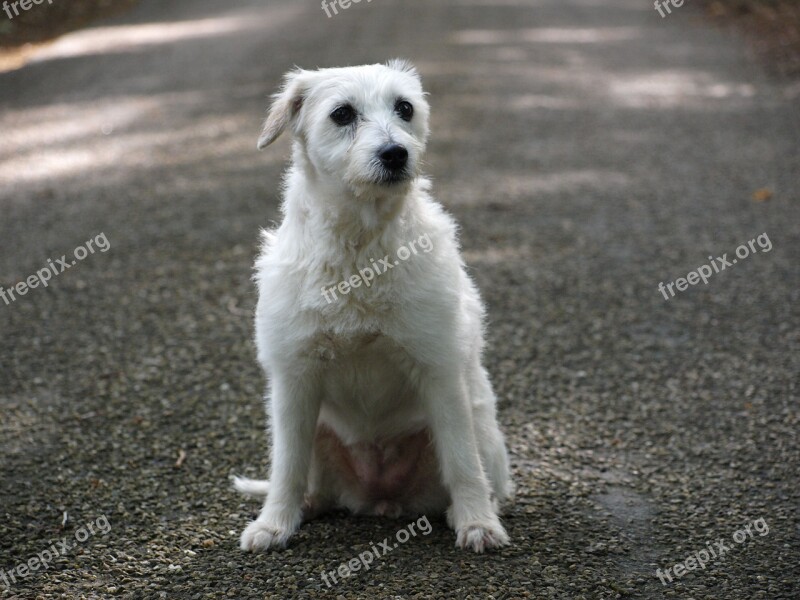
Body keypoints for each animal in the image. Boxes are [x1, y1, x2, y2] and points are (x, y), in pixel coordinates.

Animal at [236, 61, 512, 552]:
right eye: (342, 114)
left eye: (405, 108)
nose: (395, 154)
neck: (360, 247)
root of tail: (379, 497)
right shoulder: (294, 381)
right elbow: (286, 467)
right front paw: (273, 523)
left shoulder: (440, 373)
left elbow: (462, 461)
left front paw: (478, 522)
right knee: (309, 482)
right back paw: (305, 507)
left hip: (483, 429)